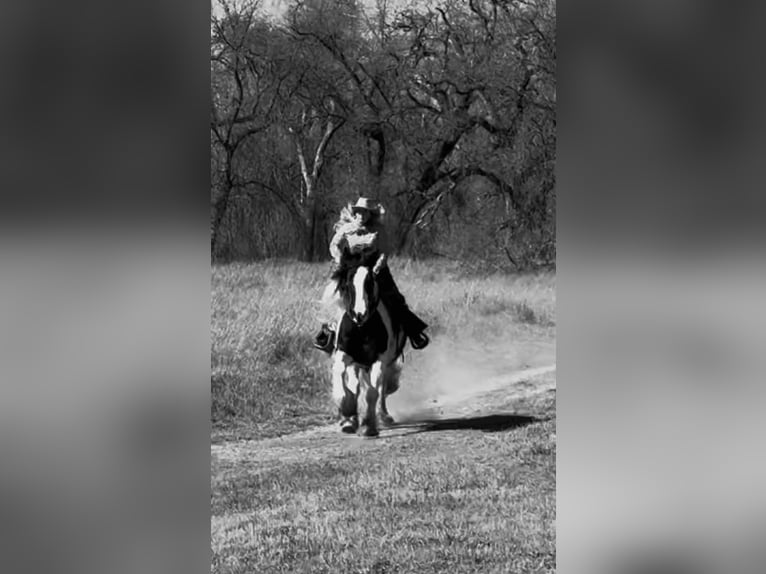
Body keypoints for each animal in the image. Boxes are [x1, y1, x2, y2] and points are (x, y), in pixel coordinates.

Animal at [330, 261, 407, 437]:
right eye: (348, 285)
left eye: (370, 284)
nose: (359, 314)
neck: (362, 329)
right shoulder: (345, 355)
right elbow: (341, 376)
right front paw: (347, 410)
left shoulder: (379, 360)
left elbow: (373, 391)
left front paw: (368, 426)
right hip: (357, 365)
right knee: (356, 386)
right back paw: (351, 421)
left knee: (381, 387)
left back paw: (383, 415)